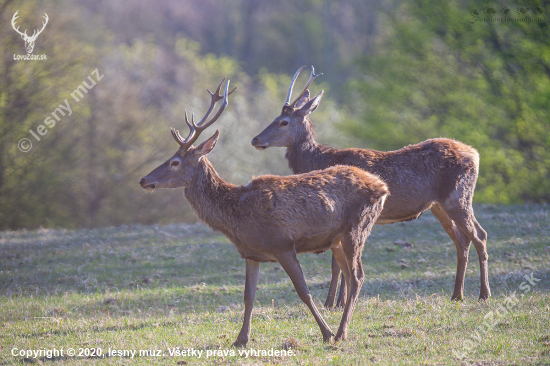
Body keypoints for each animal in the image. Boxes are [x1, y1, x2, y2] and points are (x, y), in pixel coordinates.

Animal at [142, 78, 392, 344]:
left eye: (175, 162)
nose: (143, 180)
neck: (236, 216)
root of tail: (381, 186)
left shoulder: (282, 245)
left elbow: (303, 292)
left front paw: (326, 333)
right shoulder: (251, 253)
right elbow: (248, 296)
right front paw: (241, 339)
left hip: (357, 227)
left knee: (357, 277)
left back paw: (341, 332)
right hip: (337, 239)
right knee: (348, 274)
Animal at [252, 66, 494, 306]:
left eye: (284, 121)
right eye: (275, 117)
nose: (255, 140)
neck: (319, 161)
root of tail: (475, 154)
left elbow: (337, 264)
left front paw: (335, 302)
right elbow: (338, 263)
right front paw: (336, 301)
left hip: (458, 196)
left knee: (480, 235)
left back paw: (484, 294)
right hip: (439, 205)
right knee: (462, 240)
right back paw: (457, 294)